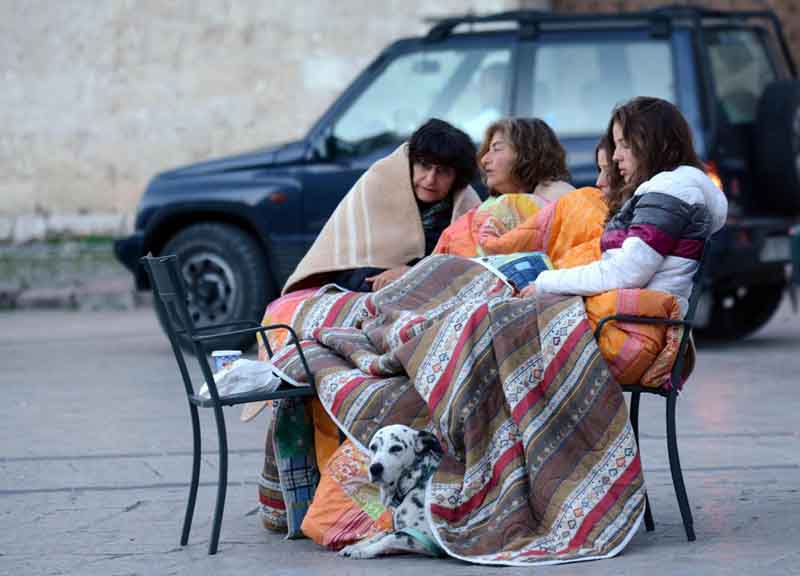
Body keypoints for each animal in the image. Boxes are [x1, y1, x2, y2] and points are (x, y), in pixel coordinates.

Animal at [340, 424, 446, 560]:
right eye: (373, 447)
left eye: (396, 448)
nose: (375, 468)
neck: (413, 485)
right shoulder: (400, 530)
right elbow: (380, 534)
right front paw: (355, 546)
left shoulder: (428, 538)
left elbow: (389, 539)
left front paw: (363, 551)